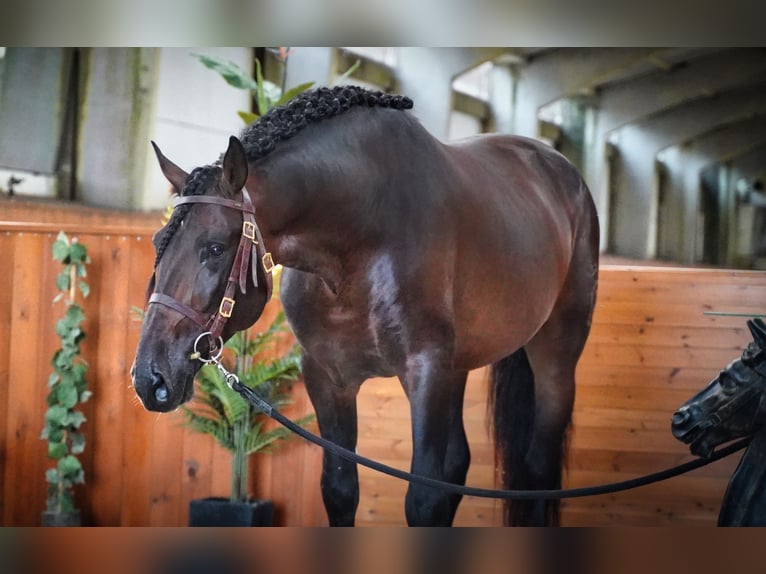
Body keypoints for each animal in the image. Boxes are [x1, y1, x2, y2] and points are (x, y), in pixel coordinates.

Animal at [130, 85, 600, 528]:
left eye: (213, 247)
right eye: (157, 242)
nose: (149, 379)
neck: (361, 239)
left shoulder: (425, 371)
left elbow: (424, 498)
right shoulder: (328, 377)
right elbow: (341, 490)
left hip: (555, 357)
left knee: (537, 470)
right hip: (458, 366)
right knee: (458, 464)